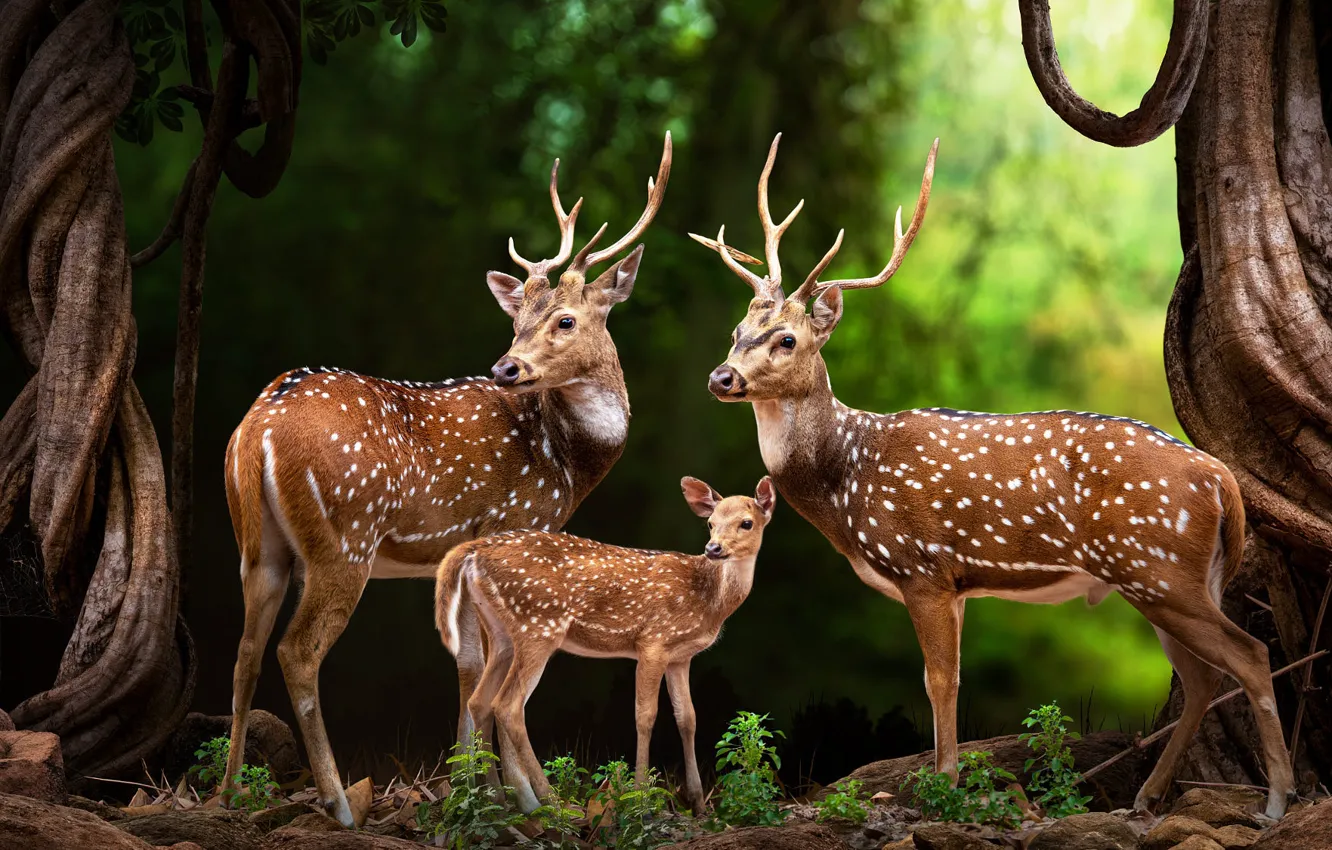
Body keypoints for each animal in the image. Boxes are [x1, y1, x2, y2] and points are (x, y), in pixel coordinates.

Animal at [220, 134, 672, 826]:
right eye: (518, 319)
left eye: (564, 319)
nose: (506, 367)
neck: (567, 462)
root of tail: (256, 428)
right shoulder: (513, 525)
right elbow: (486, 668)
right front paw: (509, 796)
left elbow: (467, 664)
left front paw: (474, 788)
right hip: (343, 539)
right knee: (296, 651)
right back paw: (338, 801)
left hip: (258, 543)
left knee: (244, 652)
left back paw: (230, 792)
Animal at [435, 475, 777, 814]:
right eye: (710, 523)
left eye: (746, 523)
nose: (713, 548)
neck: (709, 599)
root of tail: (472, 551)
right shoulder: (653, 641)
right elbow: (645, 716)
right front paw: (639, 798)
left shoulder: (681, 657)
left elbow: (687, 718)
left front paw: (697, 802)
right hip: (538, 625)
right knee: (507, 706)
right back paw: (548, 803)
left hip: (501, 632)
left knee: (479, 701)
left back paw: (496, 798)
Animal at [689, 134, 1295, 821]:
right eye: (738, 331)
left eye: (787, 339)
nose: (721, 377)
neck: (848, 477)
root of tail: (1222, 480)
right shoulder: (956, 583)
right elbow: (948, 680)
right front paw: (946, 780)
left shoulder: (923, 566)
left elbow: (939, 680)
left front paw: (944, 787)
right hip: (1168, 578)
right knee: (1202, 677)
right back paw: (1146, 796)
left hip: (1160, 568)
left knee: (1249, 656)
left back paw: (1276, 800)